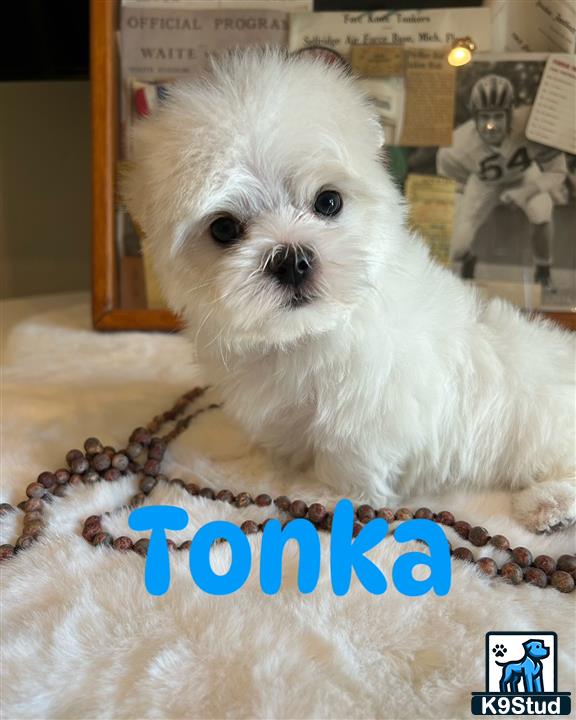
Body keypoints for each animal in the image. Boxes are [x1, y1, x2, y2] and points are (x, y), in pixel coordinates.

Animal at [122, 47, 576, 532]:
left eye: (328, 202)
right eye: (224, 228)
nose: (291, 259)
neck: (306, 333)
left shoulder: (370, 410)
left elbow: (347, 459)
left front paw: (324, 495)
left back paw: (548, 503)